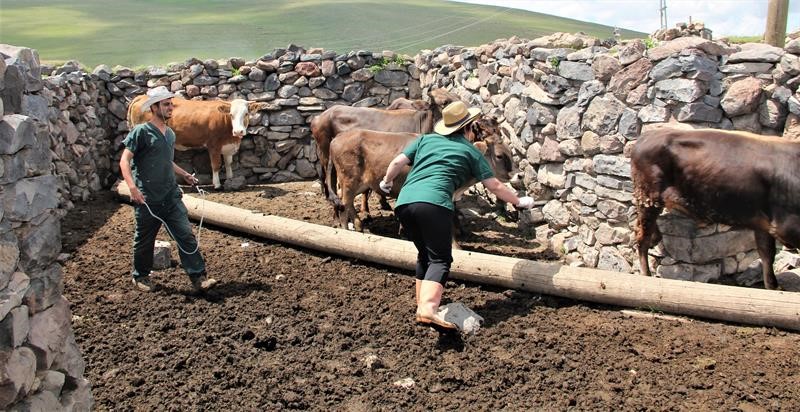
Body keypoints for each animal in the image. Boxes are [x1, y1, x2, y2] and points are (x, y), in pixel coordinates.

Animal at [128, 94, 268, 188]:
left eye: (246, 114)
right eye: (231, 115)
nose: (238, 131)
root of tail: (141, 96)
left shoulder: (227, 146)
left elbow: (228, 164)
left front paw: (230, 180)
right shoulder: (213, 145)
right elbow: (216, 165)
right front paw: (217, 184)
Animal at [326, 116, 520, 232]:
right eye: (499, 155)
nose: (516, 174)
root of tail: (338, 138)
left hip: (357, 183)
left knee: (345, 202)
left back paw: (357, 225)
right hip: (349, 181)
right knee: (345, 204)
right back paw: (347, 227)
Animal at [632, 128, 800, 290]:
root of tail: (646, 136)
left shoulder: (764, 224)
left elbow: (767, 254)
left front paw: (774, 287)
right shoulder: (787, 227)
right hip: (648, 197)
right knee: (642, 236)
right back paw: (646, 274)